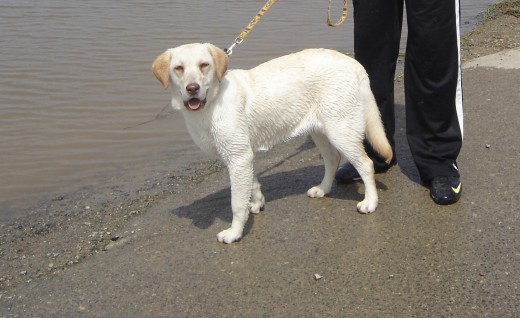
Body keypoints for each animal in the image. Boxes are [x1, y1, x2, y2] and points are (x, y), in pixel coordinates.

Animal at [152, 42, 392, 243]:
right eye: (179, 68)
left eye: (204, 65)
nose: (192, 88)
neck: (212, 102)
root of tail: (354, 64)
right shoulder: (243, 157)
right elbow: (252, 184)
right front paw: (257, 203)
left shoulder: (238, 158)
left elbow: (236, 203)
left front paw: (234, 233)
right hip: (320, 130)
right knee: (333, 159)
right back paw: (323, 189)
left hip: (340, 130)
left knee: (366, 164)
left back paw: (370, 202)